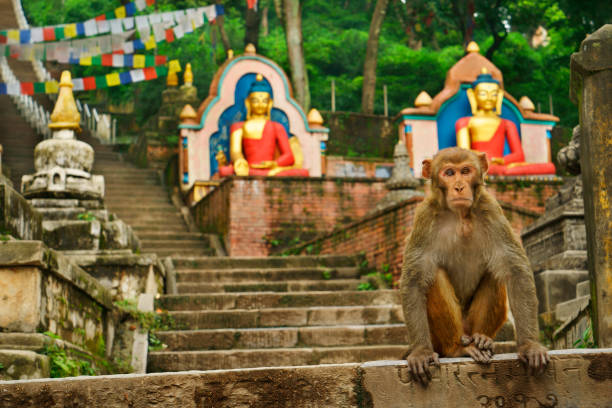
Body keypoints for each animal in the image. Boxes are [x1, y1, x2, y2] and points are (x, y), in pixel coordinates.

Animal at [402, 148, 548, 384]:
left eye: (465, 171)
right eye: (449, 173)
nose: (459, 186)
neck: (461, 216)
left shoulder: (491, 209)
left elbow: (515, 271)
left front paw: (529, 345)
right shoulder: (425, 217)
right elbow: (415, 280)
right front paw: (421, 351)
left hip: (471, 325)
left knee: (495, 273)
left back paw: (482, 340)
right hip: (443, 336)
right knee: (434, 276)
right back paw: (457, 350)